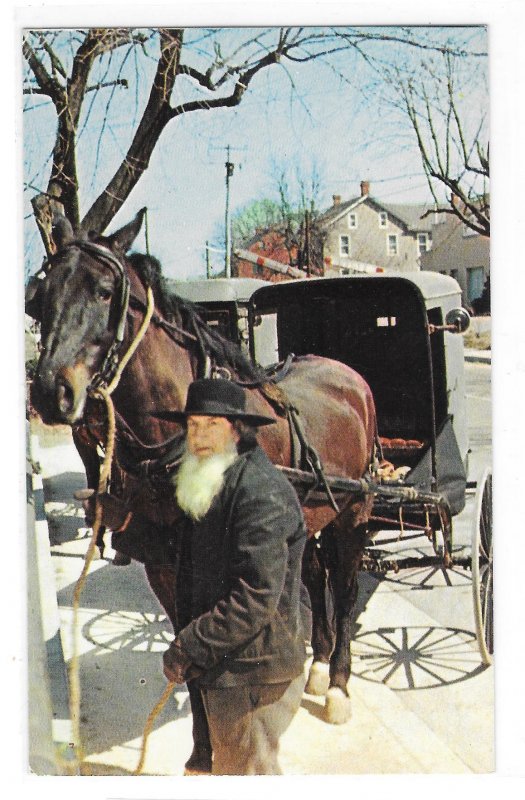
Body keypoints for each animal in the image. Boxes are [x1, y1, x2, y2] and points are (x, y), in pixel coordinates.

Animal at [28, 209, 376, 772]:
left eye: (104, 291)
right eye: (41, 297)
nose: (48, 391)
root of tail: (348, 376)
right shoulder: (167, 568)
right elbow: (188, 652)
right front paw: (201, 751)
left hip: (355, 514)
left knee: (344, 593)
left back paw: (339, 685)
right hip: (312, 519)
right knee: (315, 575)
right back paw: (320, 665)